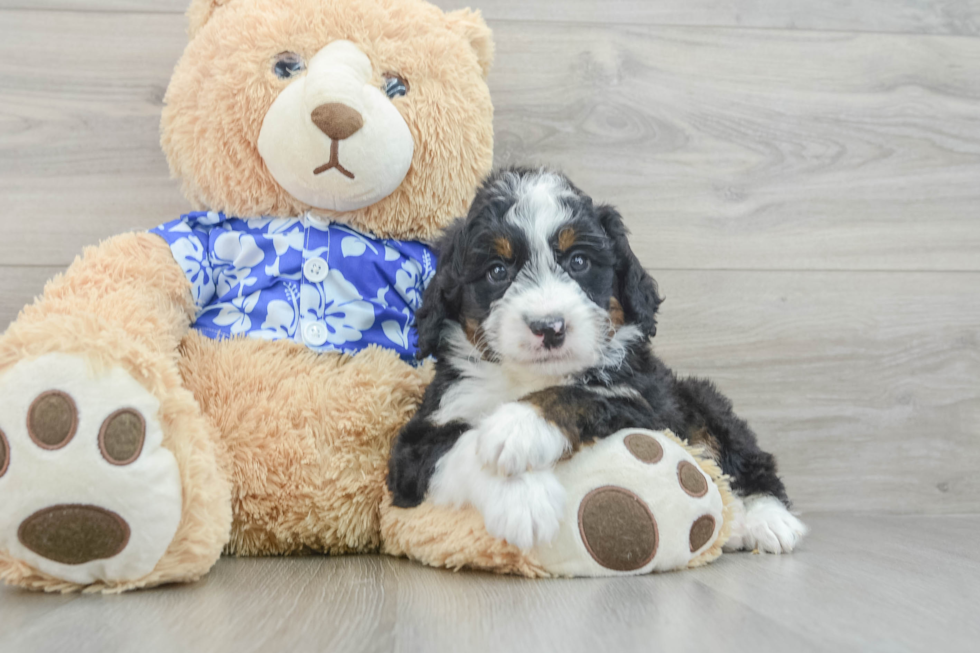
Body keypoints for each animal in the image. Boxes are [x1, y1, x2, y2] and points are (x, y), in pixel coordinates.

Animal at [386, 167, 808, 552]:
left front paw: (517, 426)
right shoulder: (416, 443)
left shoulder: (647, 407)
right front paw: (524, 501)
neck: (529, 379)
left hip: (700, 399)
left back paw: (766, 520)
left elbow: (583, 395)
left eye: (578, 262)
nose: (549, 327)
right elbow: (458, 446)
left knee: (748, 458)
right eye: (497, 271)